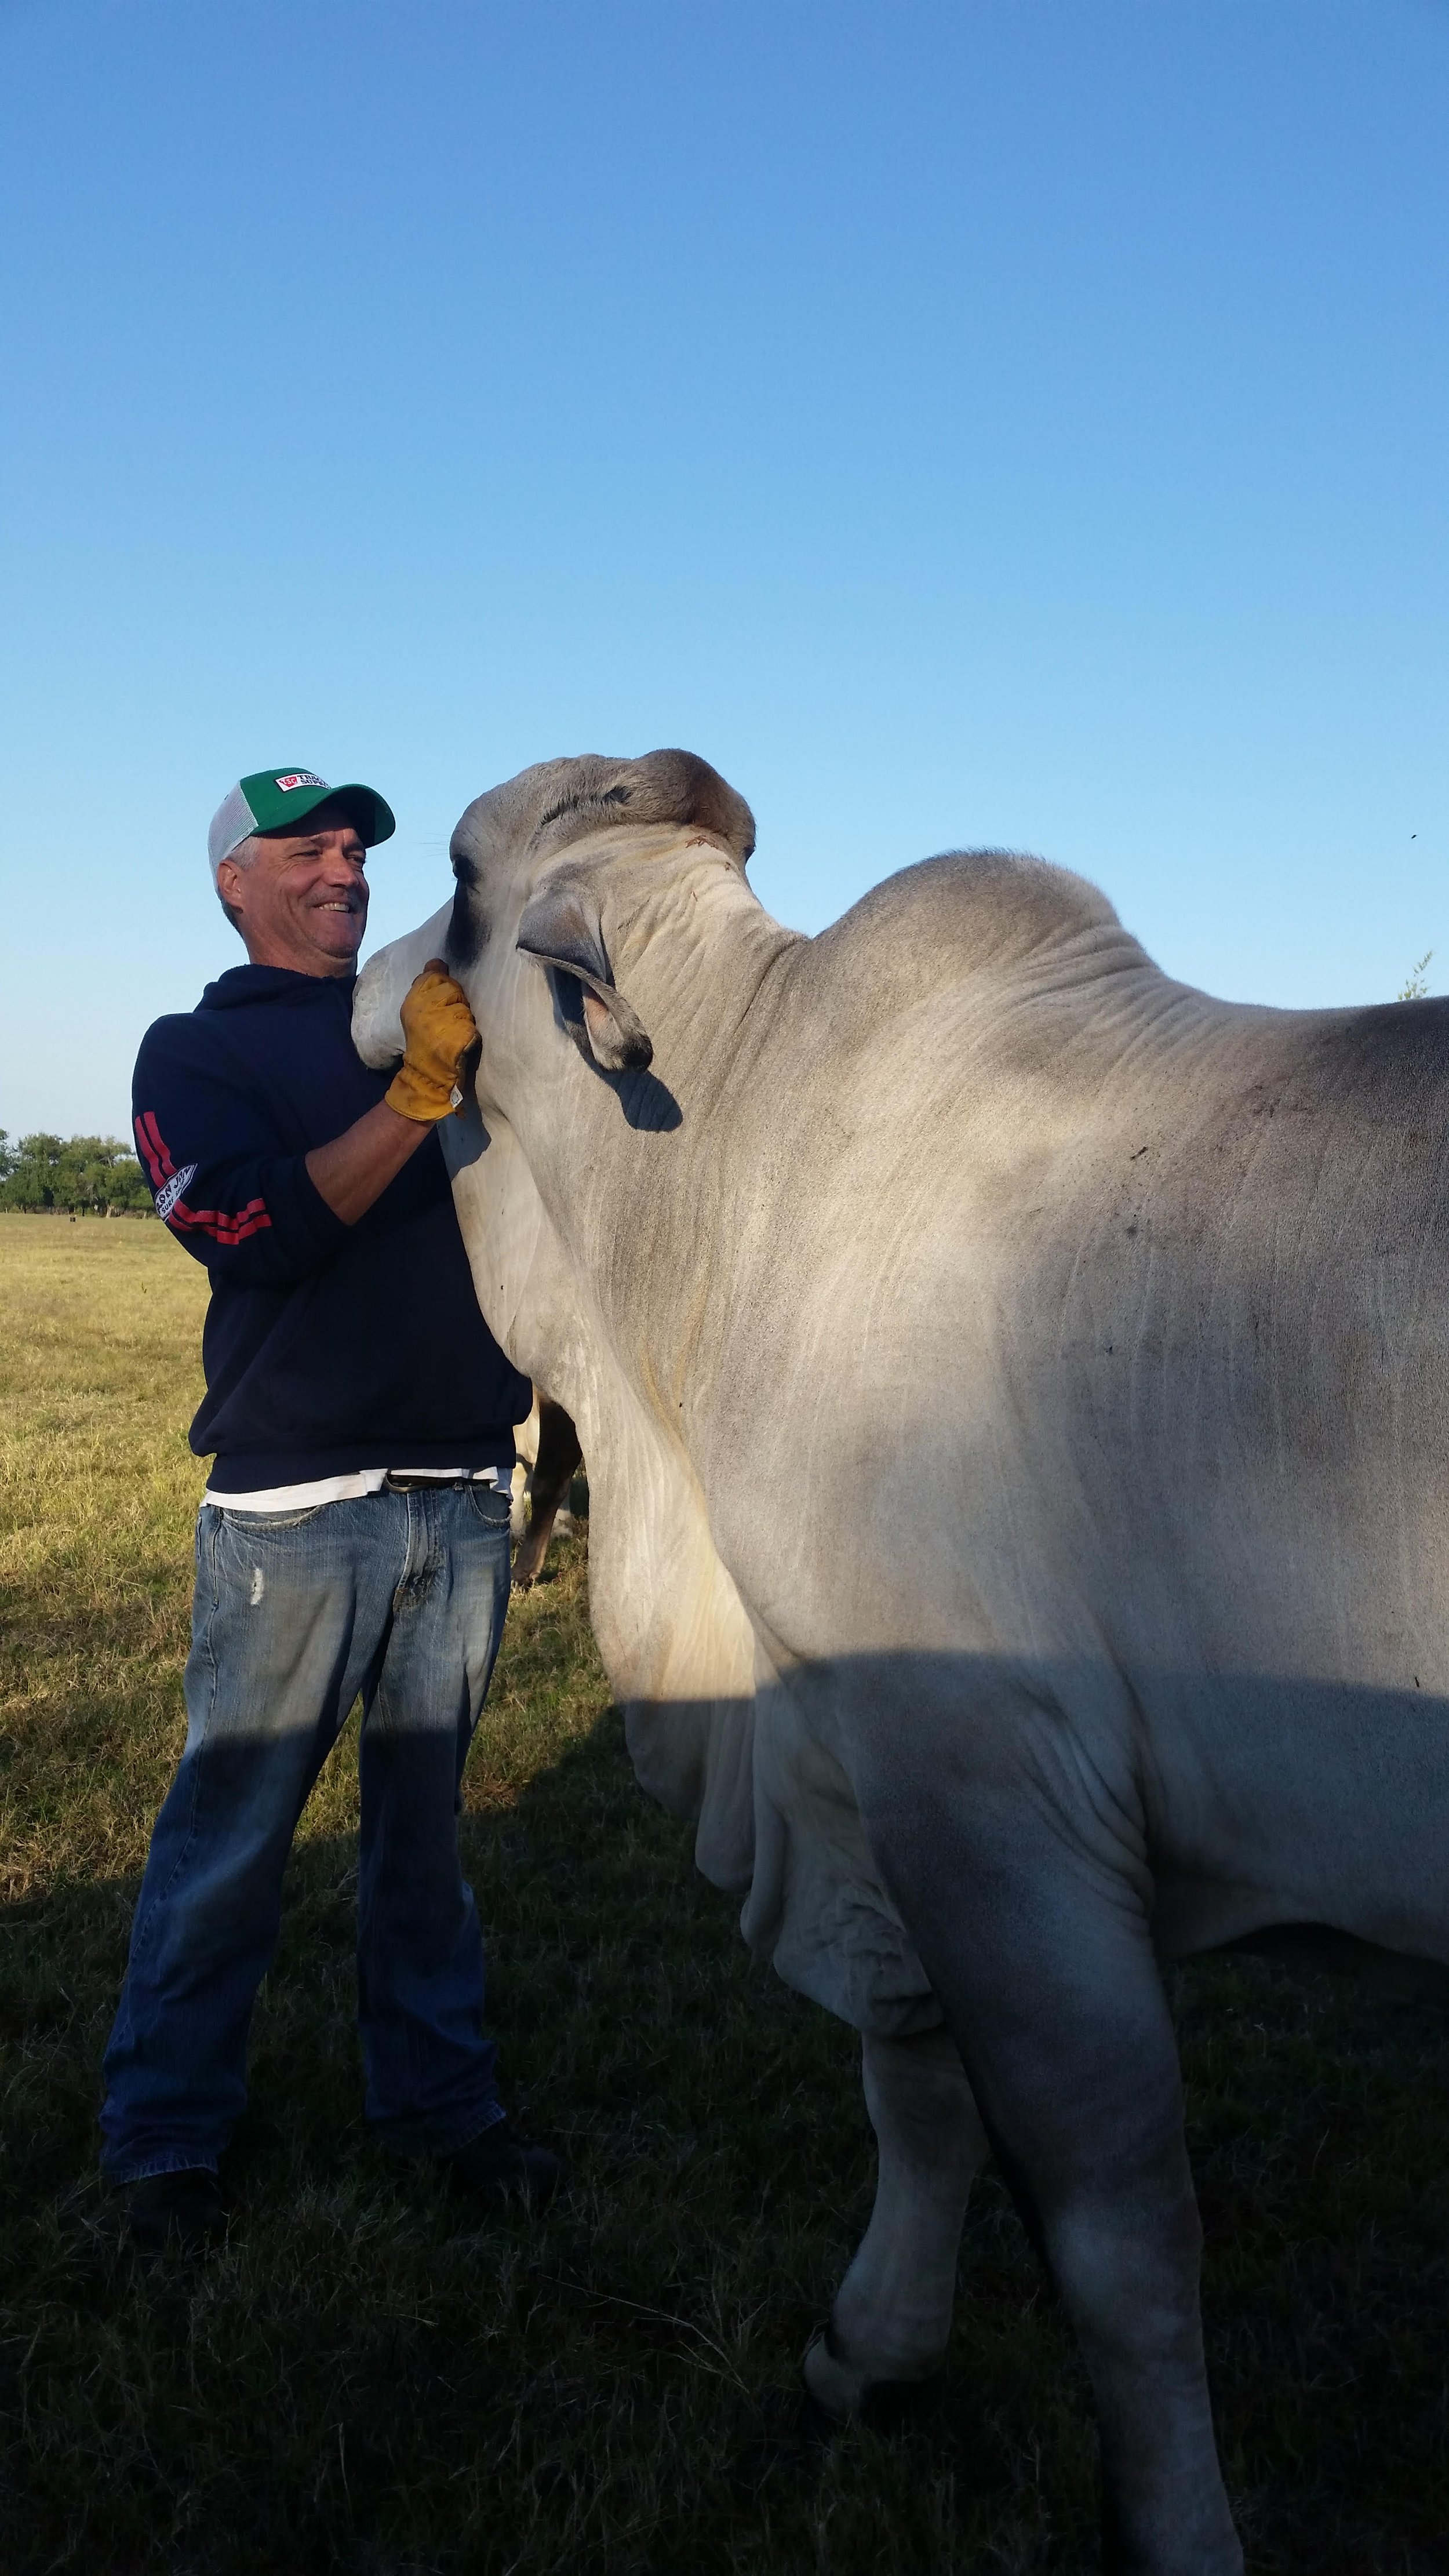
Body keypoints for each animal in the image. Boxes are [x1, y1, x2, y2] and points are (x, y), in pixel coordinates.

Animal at [353, 749, 1449, 2575]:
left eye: (451, 875)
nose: (356, 985)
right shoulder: (859, 1766)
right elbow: (917, 2085)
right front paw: (872, 2354)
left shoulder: (989, 1789)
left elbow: (1116, 2231)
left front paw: (1173, 2528)